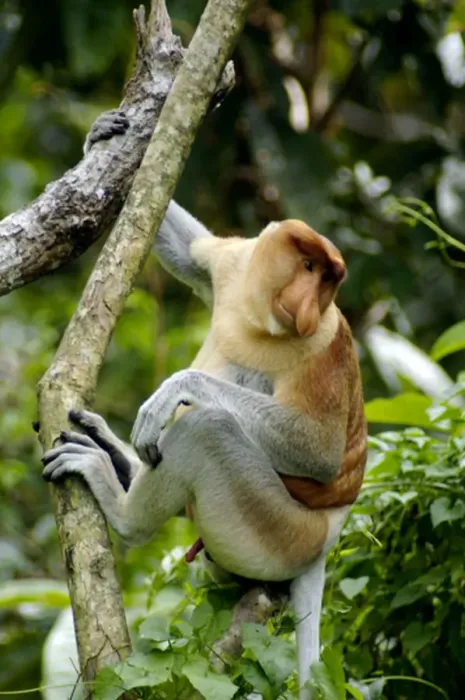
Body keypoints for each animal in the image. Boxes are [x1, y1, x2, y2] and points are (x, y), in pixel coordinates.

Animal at [42, 113, 367, 699]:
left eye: (328, 281)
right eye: (309, 266)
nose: (309, 305)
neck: (259, 316)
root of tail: (327, 537)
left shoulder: (323, 343)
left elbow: (321, 452)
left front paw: (176, 390)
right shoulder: (234, 264)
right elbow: (194, 254)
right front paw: (104, 134)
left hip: (280, 531)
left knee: (208, 430)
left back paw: (119, 499)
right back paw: (121, 459)